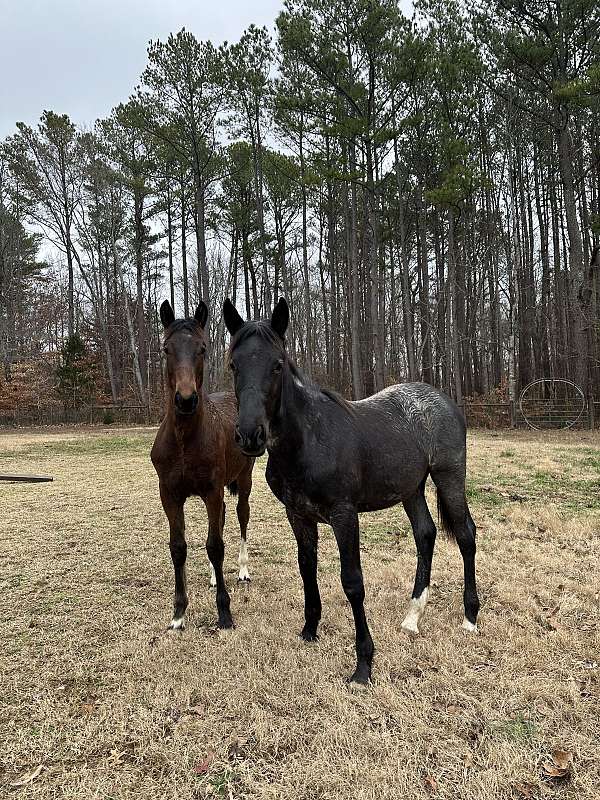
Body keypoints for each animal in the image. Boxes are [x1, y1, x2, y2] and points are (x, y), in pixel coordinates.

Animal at [151, 300, 254, 632]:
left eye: (203, 348)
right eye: (166, 348)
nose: (185, 400)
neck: (185, 439)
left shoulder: (211, 491)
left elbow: (215, 546)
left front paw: (224, 613)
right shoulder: (169, 495)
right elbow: (178, 547)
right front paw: (178, 613)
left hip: (243, 480)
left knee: (241, 515)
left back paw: (242, 570)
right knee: (221, 519)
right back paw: (212, 577)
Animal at [223, 296, 480, 684]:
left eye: (277, 365)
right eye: (234, 364)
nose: (250, 436)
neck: (308, 440)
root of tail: (441, 399)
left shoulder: (344, 516)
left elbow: (353, 582)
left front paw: (363, 664)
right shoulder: (298, 515)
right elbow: (306, 568)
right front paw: (309, 630)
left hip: (449, 477)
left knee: (465, 535)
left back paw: (470, 618)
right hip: (411, 489)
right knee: (426, 534)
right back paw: (412, 617)